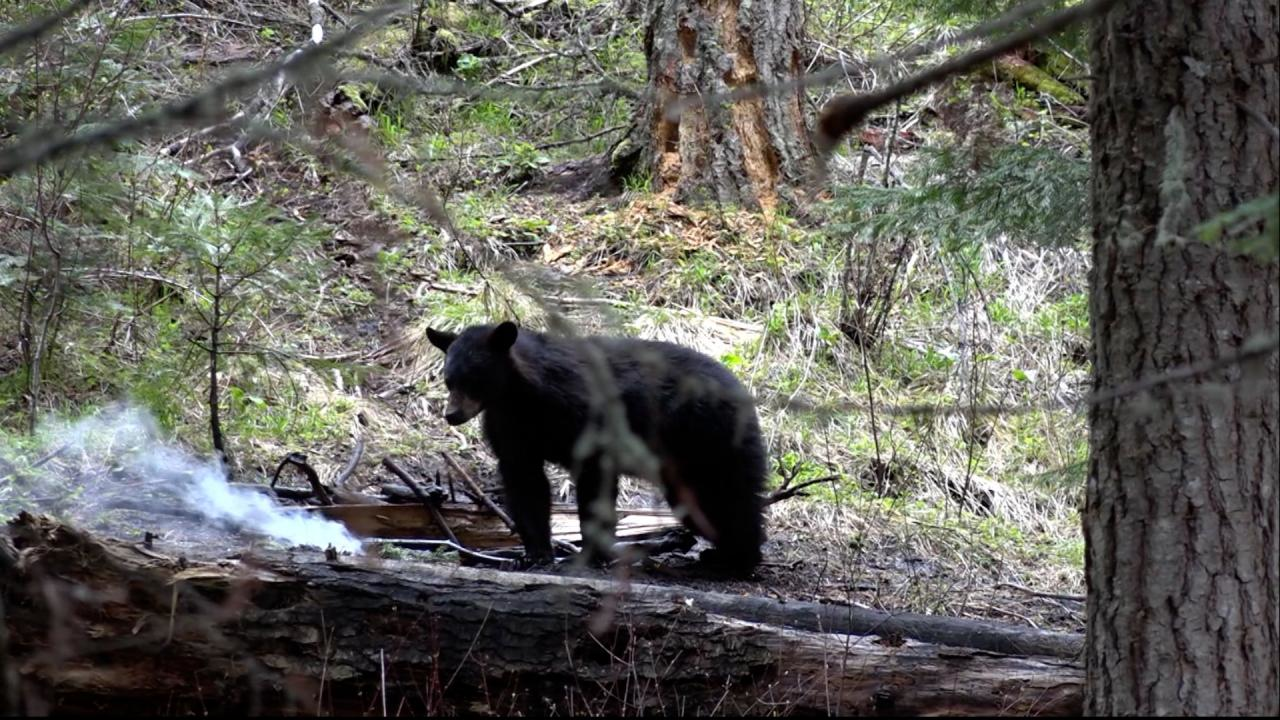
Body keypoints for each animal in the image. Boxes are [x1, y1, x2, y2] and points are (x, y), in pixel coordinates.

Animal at [426, 321, 766, 576]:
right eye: (449, 380)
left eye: (473, 380)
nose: (451, 414)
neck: (518, 396)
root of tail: (743, 392)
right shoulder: (509, 428)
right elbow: (525, 481)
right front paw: (534, 554)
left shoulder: (582, 414)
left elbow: (594, 480)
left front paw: (590, 555)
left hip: (710, 440)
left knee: (730, 498)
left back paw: (737, 559)